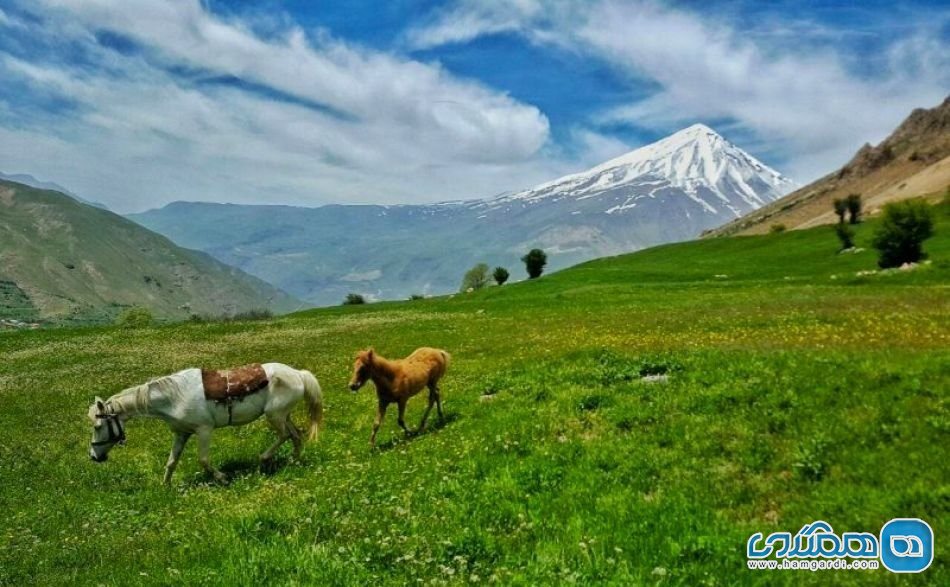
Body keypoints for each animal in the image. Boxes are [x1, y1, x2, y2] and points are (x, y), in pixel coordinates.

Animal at [90, 366, 328, 484]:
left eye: (97, 427)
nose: (94, 457)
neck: (173, 397)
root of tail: (298, 374)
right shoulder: (181, 434)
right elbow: (171, 462)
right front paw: (165, 486)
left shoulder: (204, 430)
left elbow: (203, 460)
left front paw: (222, 478)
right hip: (283, 415)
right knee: (295, 434)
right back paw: (293, 461)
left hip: (274, 415)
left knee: (285, 435)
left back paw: (265, 458)